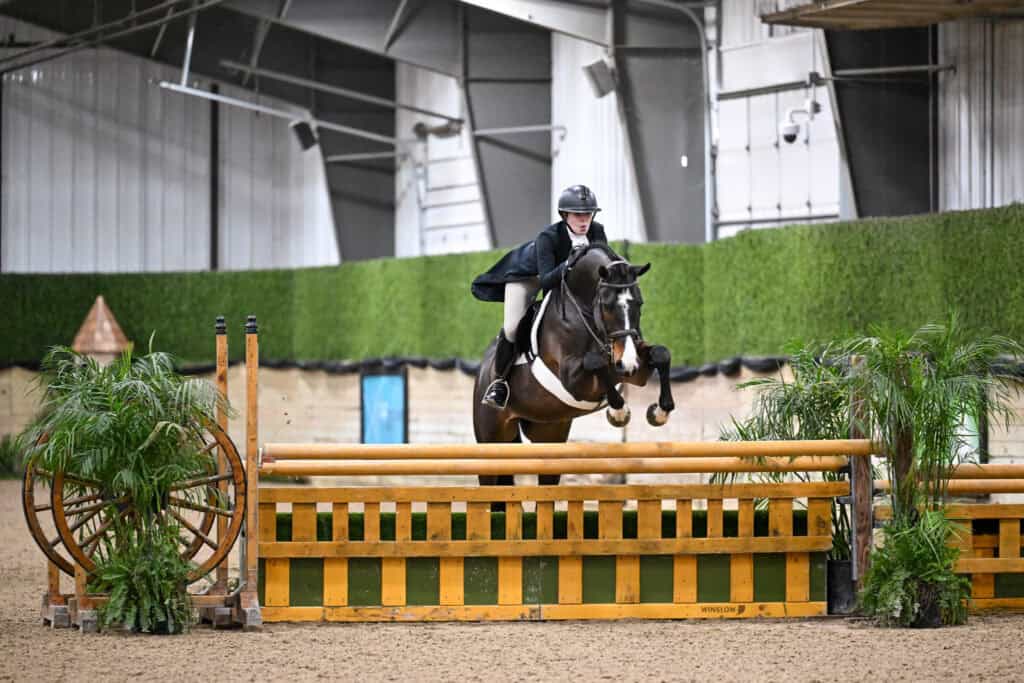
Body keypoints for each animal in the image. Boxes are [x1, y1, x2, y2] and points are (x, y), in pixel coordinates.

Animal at [473, 243, 676, 487]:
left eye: (639, 303)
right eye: (607, 305)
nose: (626, 363)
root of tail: (482, 372)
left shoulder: (634, 368)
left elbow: (661, 353)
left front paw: (660, 412)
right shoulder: (572, 380)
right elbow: (596, 362)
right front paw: (618, 412)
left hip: (549, 434)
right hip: (491, 439)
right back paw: (496, 392)